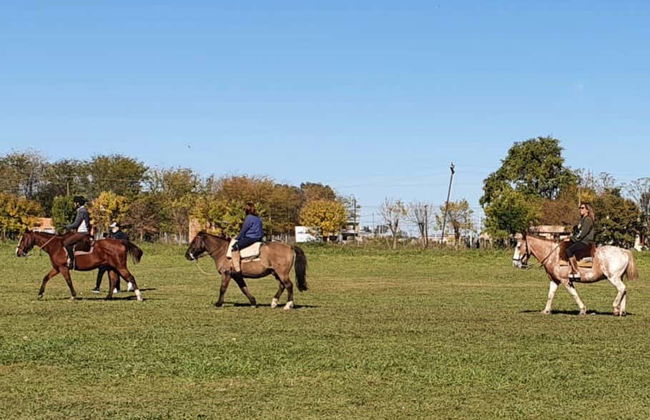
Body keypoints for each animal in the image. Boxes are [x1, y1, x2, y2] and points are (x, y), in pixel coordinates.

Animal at [15, 230, 144, 301]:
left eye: (23, 239)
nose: (18, 252)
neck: (55, 246)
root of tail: (120, 241)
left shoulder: (63, 268)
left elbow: (68, 281)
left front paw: (73, 296)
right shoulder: (57, 268)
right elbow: (46, 278)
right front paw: (40, 294)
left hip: (120, 267)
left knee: (130, 277)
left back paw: (139, 297)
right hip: (111, 267)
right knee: (113, 280)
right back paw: (108, 297)